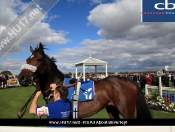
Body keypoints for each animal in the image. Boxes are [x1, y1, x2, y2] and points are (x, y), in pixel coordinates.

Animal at [17, 42, 152, 119]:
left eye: (38, 59)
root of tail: (129, 80)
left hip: (127, 111)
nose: (21, 78)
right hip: (112, 109)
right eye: (27, 59)